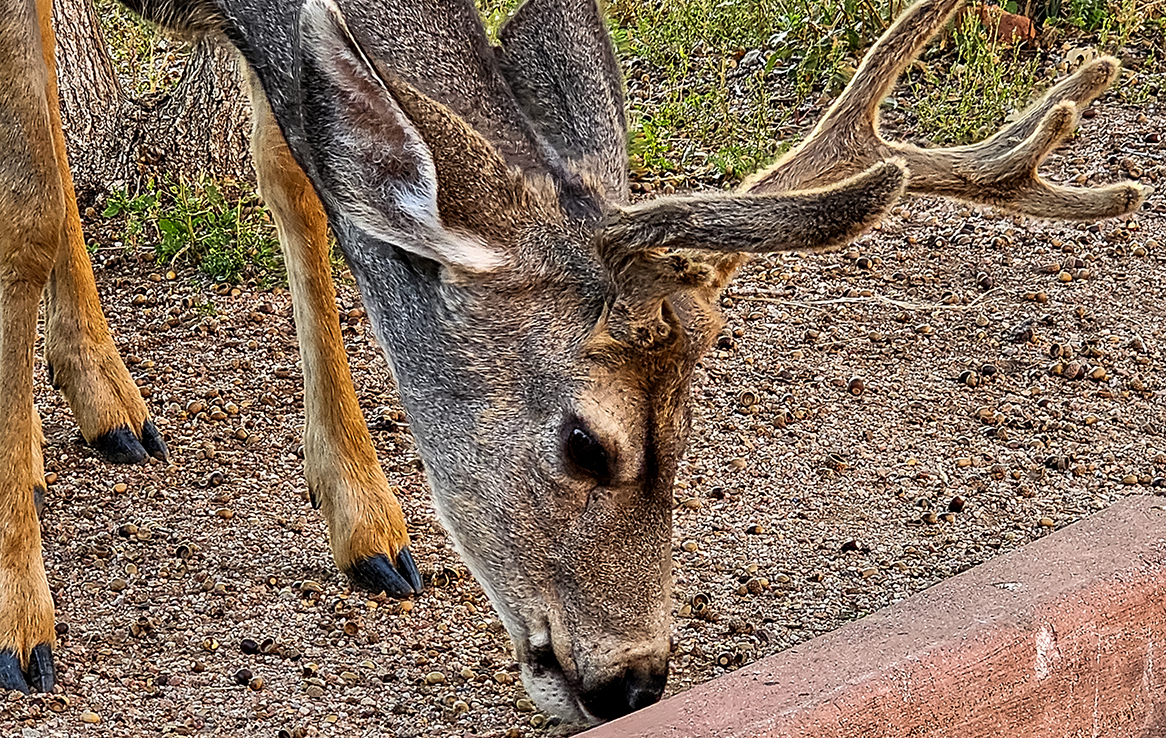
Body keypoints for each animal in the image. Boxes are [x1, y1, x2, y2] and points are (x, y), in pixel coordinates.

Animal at [0, 0, 1147, 718]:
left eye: (690, 429)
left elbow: (299, 180)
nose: (635, 681)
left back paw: (100, 404)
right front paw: (21, 621)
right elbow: (26, 206)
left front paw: (366, 519)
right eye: (585, 442)